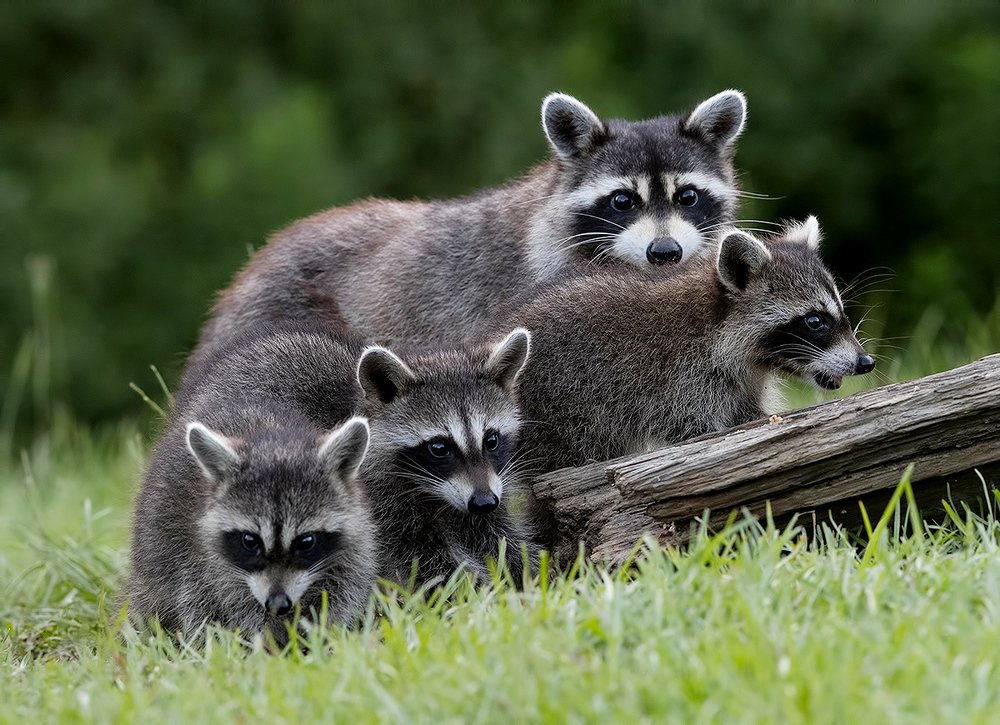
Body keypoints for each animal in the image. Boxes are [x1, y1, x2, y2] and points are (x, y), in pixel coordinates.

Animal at [505, 216, 875, 472]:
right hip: (561, 406)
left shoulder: (739, 382)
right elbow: (695, 430)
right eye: (815, 321)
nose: (866, 362)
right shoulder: (680, 379)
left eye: (840, 313)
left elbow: (746, 414)